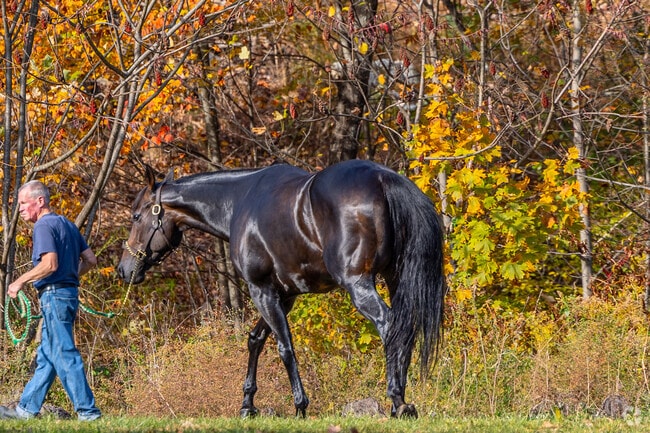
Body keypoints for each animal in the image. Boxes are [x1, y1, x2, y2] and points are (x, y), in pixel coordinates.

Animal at [117, 159, 446, 418]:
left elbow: (284, 346)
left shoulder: (261, 289)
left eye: (136, 216)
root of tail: (382, 178)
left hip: (359, 284)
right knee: (405, 328)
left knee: (389, 326)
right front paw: (247, 404)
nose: (124, 270)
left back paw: (397, 399)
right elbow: (256, 340)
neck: (238, 202)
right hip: (394, 279)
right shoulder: (284, 295)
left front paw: (300, 405)